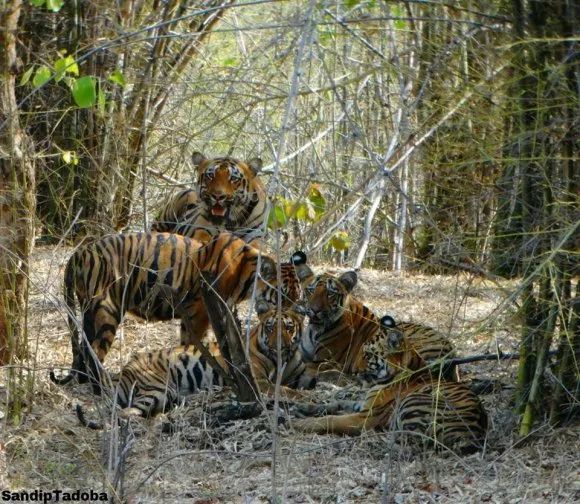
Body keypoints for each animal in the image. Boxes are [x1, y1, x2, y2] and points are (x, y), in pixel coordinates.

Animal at [50, 233, 312, 394]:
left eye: (297, 296)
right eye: (282, 296)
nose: (294, 316)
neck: (246, 277)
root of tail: (77, 253)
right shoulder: (201, 310)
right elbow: (195, 343)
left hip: (88, 313)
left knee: (83, 348)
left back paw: (85, 382)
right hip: (107, 310)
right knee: (94, 351)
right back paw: (98, 388)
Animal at [292, 378, 488, 452]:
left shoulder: (364, 418)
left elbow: (330, 418)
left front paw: (298, 423)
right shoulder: (361, 406)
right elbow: (334, 404)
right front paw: (300, 407)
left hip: (411, 401)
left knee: (411, 444)